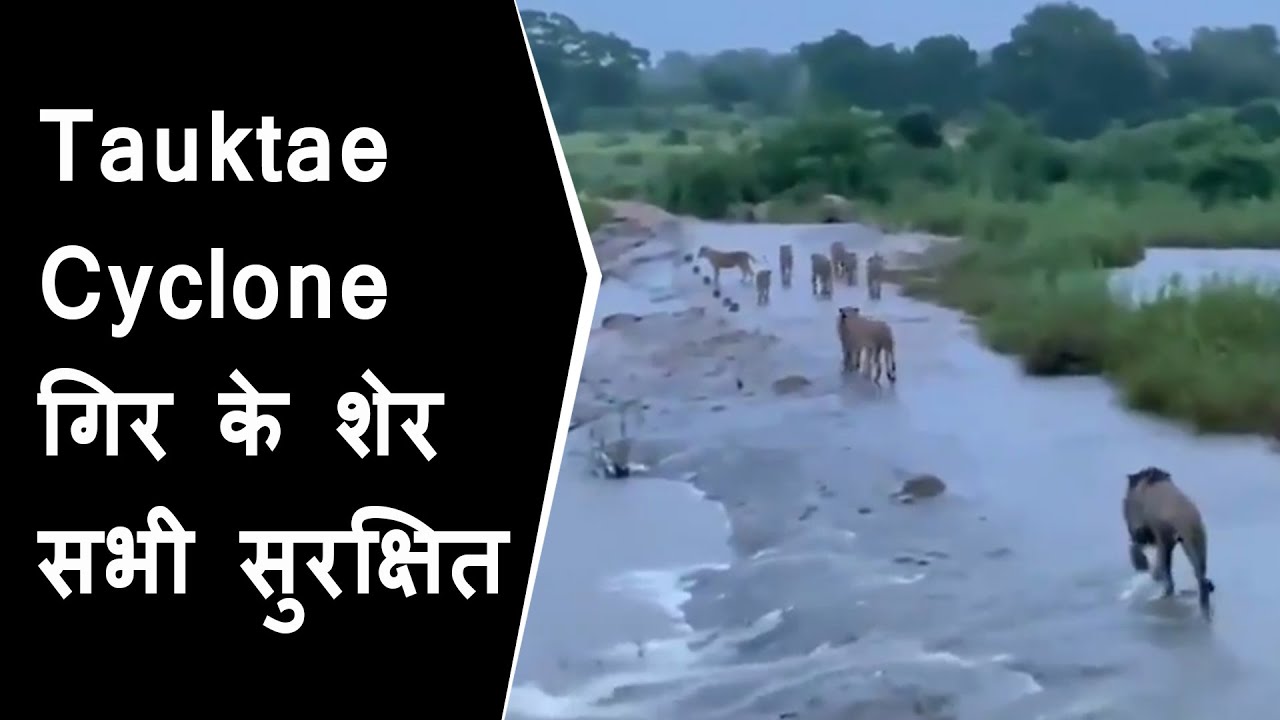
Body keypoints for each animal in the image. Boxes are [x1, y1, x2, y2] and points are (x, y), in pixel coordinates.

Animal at [1123, 466, 1215, 620]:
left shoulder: (1142, 529)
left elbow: (1136, 545)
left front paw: (1142, 565)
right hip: (1196, 544)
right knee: (1199, 575)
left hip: (1169, 539)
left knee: (1164, 568)